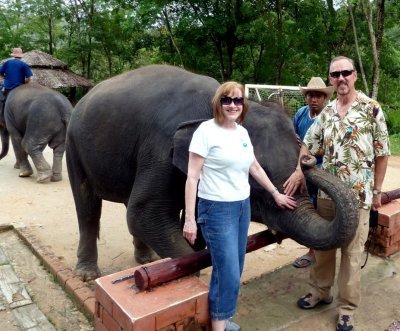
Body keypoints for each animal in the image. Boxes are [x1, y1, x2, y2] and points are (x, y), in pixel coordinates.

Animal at [66, 64, 360, 280]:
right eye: (255, 184)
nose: (308, 159)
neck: (215, 107)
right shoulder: (161, 148)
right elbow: (144, 215)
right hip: (74, 144)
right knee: (87, 203)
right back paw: (88, 274)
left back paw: (146, 259)